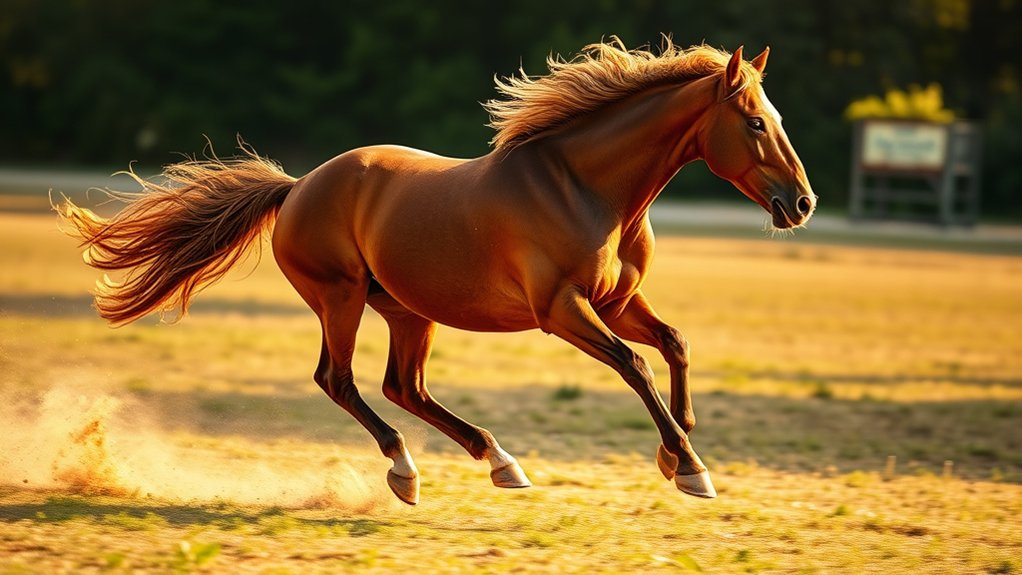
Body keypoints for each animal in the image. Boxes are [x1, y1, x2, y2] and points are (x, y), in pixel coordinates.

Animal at [57, 39, 815, 505]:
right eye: (754, 122)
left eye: (775, 116)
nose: (801, 203)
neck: (586, 187)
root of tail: (297, 186)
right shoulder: (561, 309)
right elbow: (635, 364)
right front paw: (688, 466)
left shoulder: (617, 300)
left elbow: (674, 343)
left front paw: (680, 439)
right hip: (341, 299)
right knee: (340, 380)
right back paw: (407, 469)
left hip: (406, 310)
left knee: (405, 386)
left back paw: (500, 462)